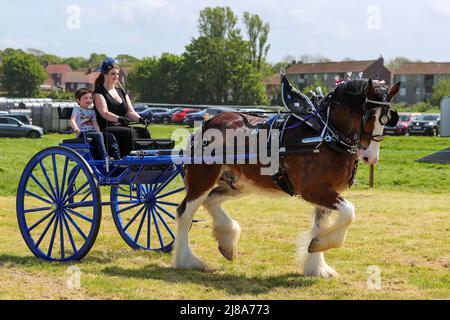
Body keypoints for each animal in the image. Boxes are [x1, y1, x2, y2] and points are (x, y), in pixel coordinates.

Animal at [173, 78, 400, 278]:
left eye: (388, 117)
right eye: (368, 116)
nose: (371, 157)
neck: (325, 136)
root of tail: (208, 122)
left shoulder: (328, 192)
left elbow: (323, 224)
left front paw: (317, 265)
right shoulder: (312, 190)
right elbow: (349, 212)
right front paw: (321, 244)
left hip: (238, 184)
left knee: (211, 201)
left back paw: (227, 240)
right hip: (202, 178)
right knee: (185, 213)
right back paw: (187, 260)